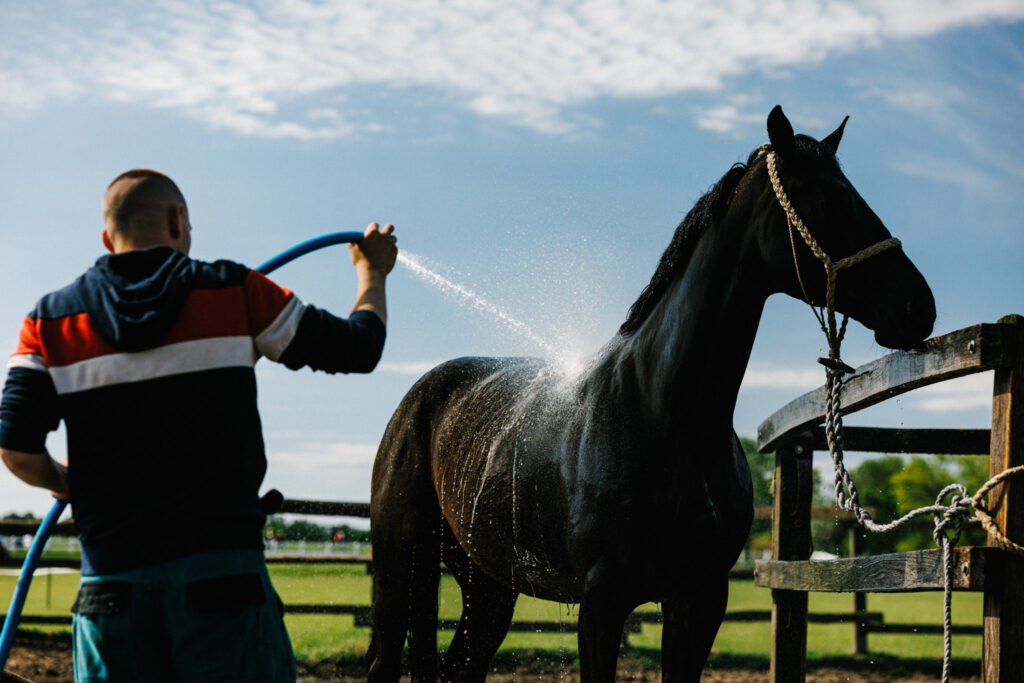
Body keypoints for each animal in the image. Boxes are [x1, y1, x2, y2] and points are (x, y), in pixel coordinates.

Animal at [366, 107, 937, 683]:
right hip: (402, 572)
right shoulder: (602, 602)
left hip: (487, 587)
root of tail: (420, 396)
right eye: (829, 198)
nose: (920, 306)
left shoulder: (699, 599)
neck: (661, 411)